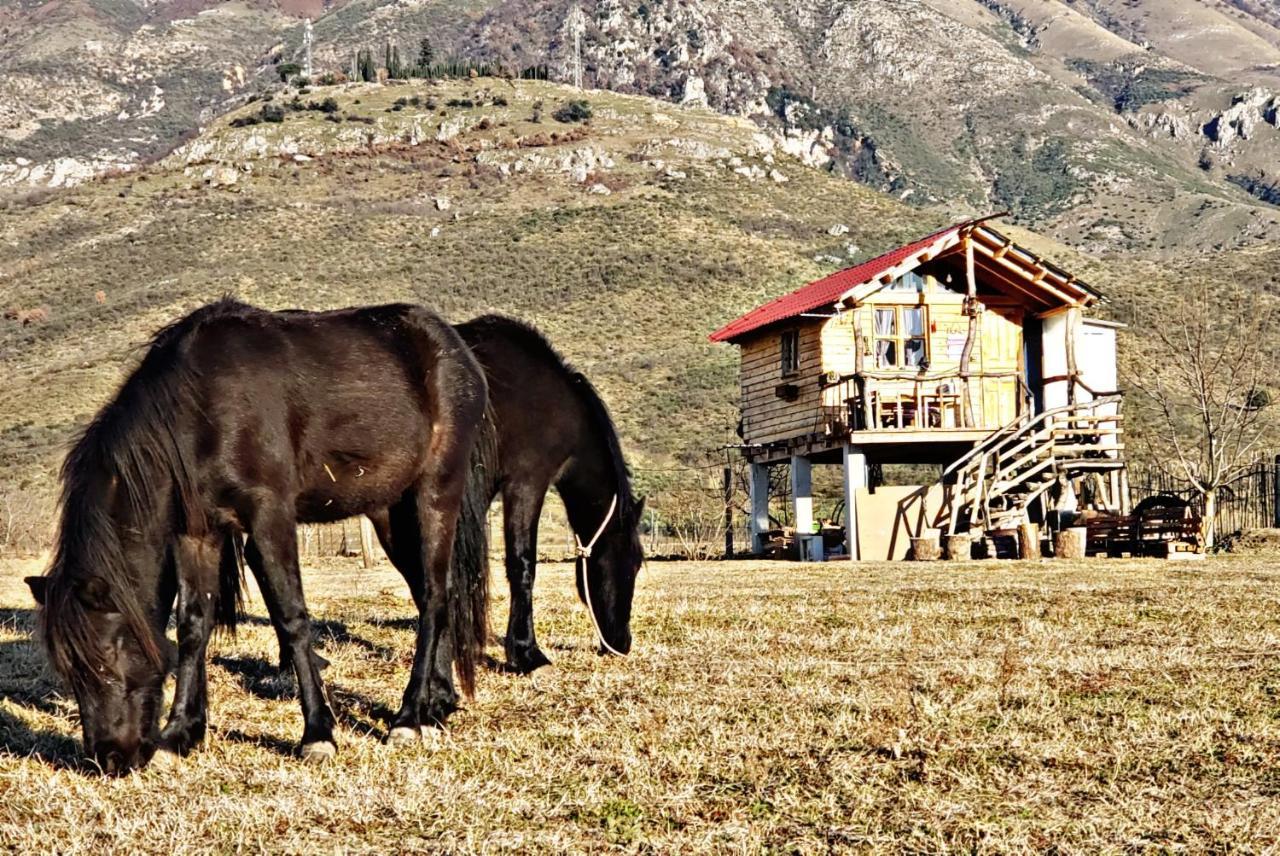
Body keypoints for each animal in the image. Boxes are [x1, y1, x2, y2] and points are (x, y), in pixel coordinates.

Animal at [28, 300, 494, 772]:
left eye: (105, 660)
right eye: (69, 670)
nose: (109, 758)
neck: (200, 408)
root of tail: (456, 349)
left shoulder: (270, 517)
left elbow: (292, 618)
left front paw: (317, 735)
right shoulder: (198, 533)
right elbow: (194, 625)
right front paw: (179, 734)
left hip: (435, 491)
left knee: (434, 596)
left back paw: (408, 718)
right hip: (388, 510)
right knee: (430, 594)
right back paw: (437, 704)